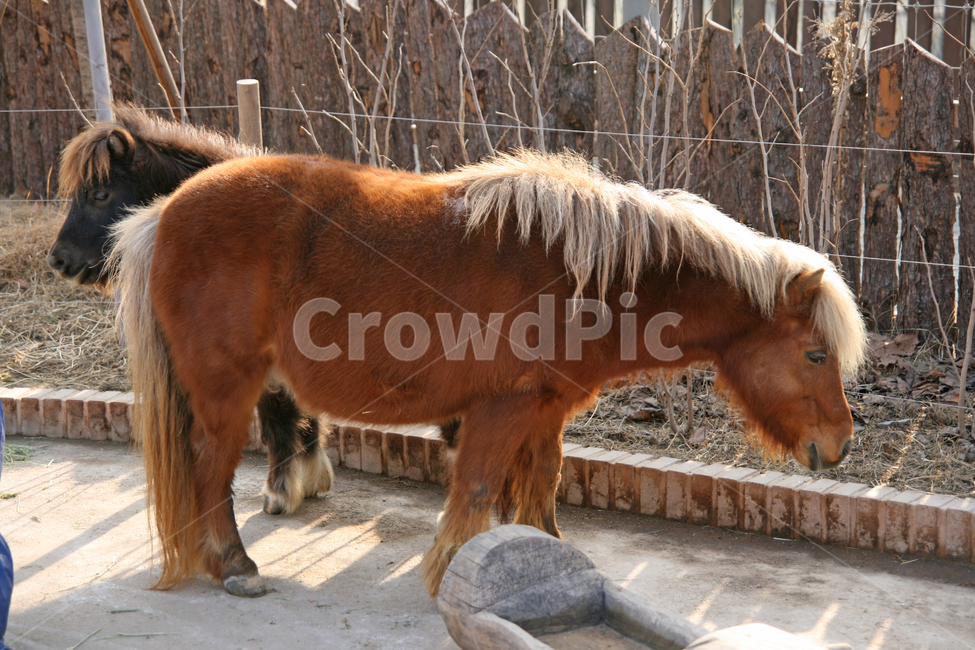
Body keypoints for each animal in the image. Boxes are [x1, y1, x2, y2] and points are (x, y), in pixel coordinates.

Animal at [109, 149, 867, 599]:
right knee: (211, 470)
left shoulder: (542, 410)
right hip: (225, 392)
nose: (838, 444)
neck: (580, 275)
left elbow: (538, 488)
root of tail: (163, 213)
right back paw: (234, 565)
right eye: (815, 355)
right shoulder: (502, 409)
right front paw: (451, 569)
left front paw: (543, 559)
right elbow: (476, 490)